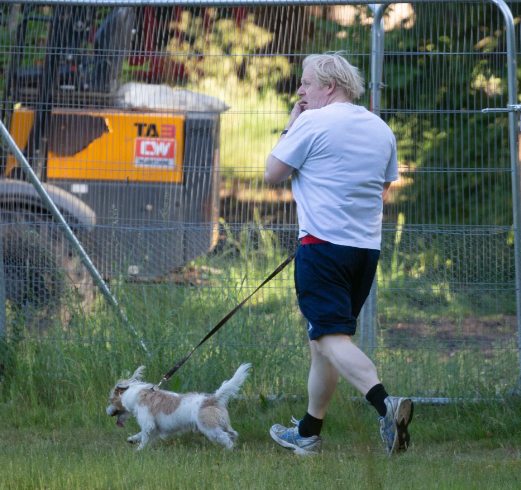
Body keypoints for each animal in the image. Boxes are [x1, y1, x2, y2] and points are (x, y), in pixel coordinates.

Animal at [106, 362, 250, 450]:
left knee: (225, 438)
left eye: (111, 399)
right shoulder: (155, 428)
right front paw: (132, 439)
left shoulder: (148, 424)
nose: (107, 411)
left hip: (210, 428)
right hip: (223, 424)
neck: (135, 393)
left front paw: (139, 450)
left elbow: (145, 437)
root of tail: (212, 399)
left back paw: (228, 450)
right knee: (233, 434)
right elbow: (140, 434)